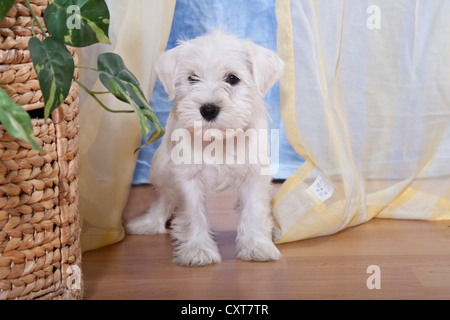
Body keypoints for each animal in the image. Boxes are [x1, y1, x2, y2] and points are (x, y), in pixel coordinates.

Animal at [125, 31, 284, 268]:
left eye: (232, 78)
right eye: (192, 78)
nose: (208, 109)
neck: (219, 139)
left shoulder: (254, 174)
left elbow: (254, 210)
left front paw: (257, 246)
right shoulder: (187, 177)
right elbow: (193, 215)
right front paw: (198, 250)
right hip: (161, 167)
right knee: (165, 197)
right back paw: (149, 223)